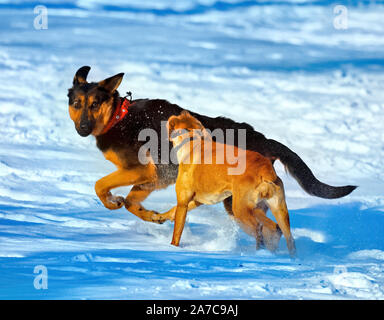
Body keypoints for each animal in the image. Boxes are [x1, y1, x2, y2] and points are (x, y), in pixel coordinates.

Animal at [166, 111, 296, 256]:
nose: (183, 111)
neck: (192, 142)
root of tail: (265, 168)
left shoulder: (183, 203)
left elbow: (176, 233)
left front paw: (172, 248)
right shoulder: (199, 200)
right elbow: (171, 212)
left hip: (240, 210)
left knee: (260, 229)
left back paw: (260, 252)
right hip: (274, 210)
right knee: (281, 232)